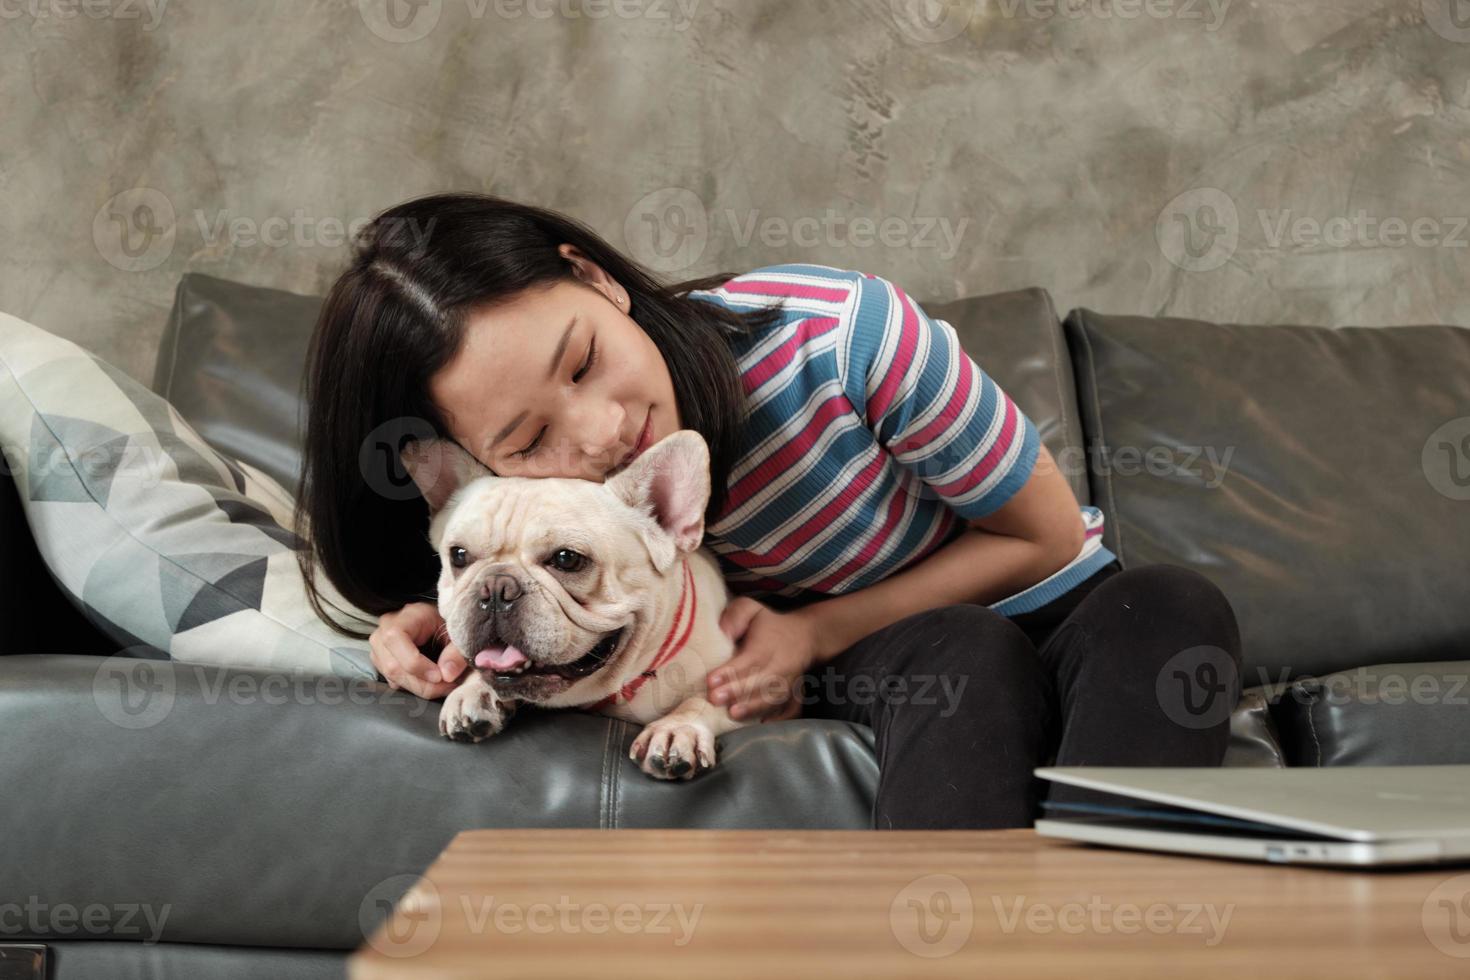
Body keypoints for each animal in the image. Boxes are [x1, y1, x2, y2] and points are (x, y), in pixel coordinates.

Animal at [396, 429, 752, 781]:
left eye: (567, 559)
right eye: (458, 555)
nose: (496, 587)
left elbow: (705, 700)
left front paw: (677, 729)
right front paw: (473, 691)